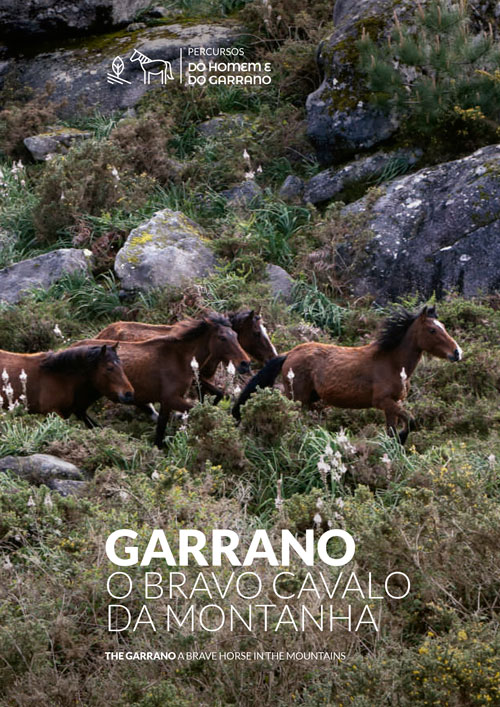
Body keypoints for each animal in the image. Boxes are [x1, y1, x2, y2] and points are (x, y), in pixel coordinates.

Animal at [73, 315, 251, 447]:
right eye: (222, 338)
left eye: (236, 335)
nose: (245, 363)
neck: (179, 358)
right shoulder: (172, 398)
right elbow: (197, 411)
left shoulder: (167, 401)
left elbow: (161, 428)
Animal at [94, 309, 276, 404]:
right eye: (256, 333)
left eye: (237, 336)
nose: (245, 364)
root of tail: (102, 333)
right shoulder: (197, 381)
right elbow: (219, 394)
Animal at [233, 306, 462, 444]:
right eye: (432, 330)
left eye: (443, 327)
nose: (457, 352)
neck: (392, 362)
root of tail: (289, 354)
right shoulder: (383, 401)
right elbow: (411, 422)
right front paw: (402, 438)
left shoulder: (392, 404)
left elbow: (393, 429)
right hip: (298, 398)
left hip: (308, 400)